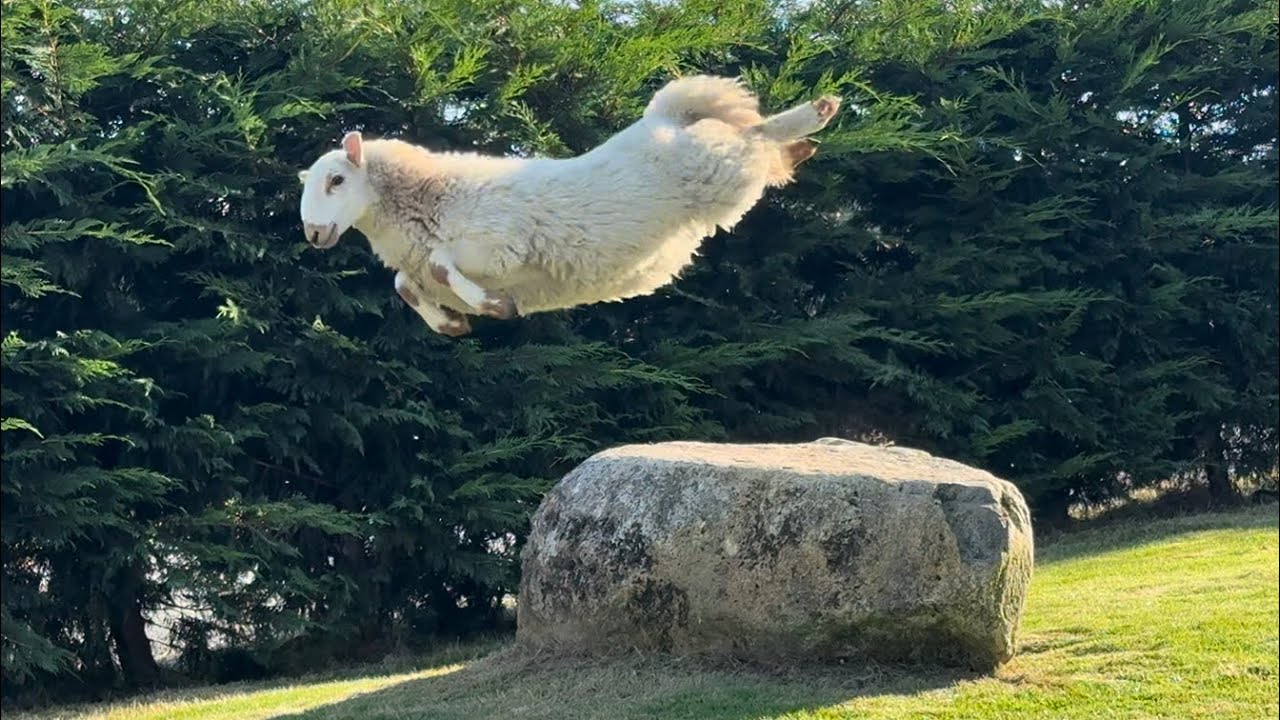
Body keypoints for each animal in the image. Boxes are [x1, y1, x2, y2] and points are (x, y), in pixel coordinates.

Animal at [297, 75, 842, 336]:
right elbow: (406, 285)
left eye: (338, 180)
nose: (314, 233)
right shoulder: (433, 265)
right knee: (762, 145)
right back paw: (804, 144)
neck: (429, 195)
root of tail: (664, 119)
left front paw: (497, 308)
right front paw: (452, 325)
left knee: (757, 136)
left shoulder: (497, 245)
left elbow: (438, 267)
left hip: (719, 168)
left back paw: (817, 113)